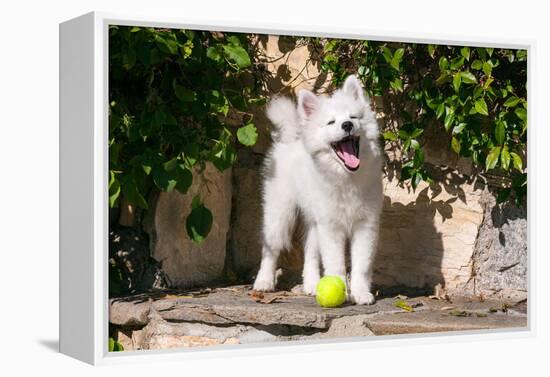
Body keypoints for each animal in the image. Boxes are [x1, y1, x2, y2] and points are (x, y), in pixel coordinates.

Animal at [253, 75, 384, 304]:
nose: (347, 125)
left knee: (310, 254)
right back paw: (264, 281)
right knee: (270, 248)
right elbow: (336, 264)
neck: (346, 177)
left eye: (353, 117)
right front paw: (343, 291)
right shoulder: (331, 227)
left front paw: (360, 293)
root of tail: (292, 137)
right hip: (279, 212)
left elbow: (361, 264)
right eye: (331, 122)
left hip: (314, 221)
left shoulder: (365, 225)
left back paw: (312, 285)